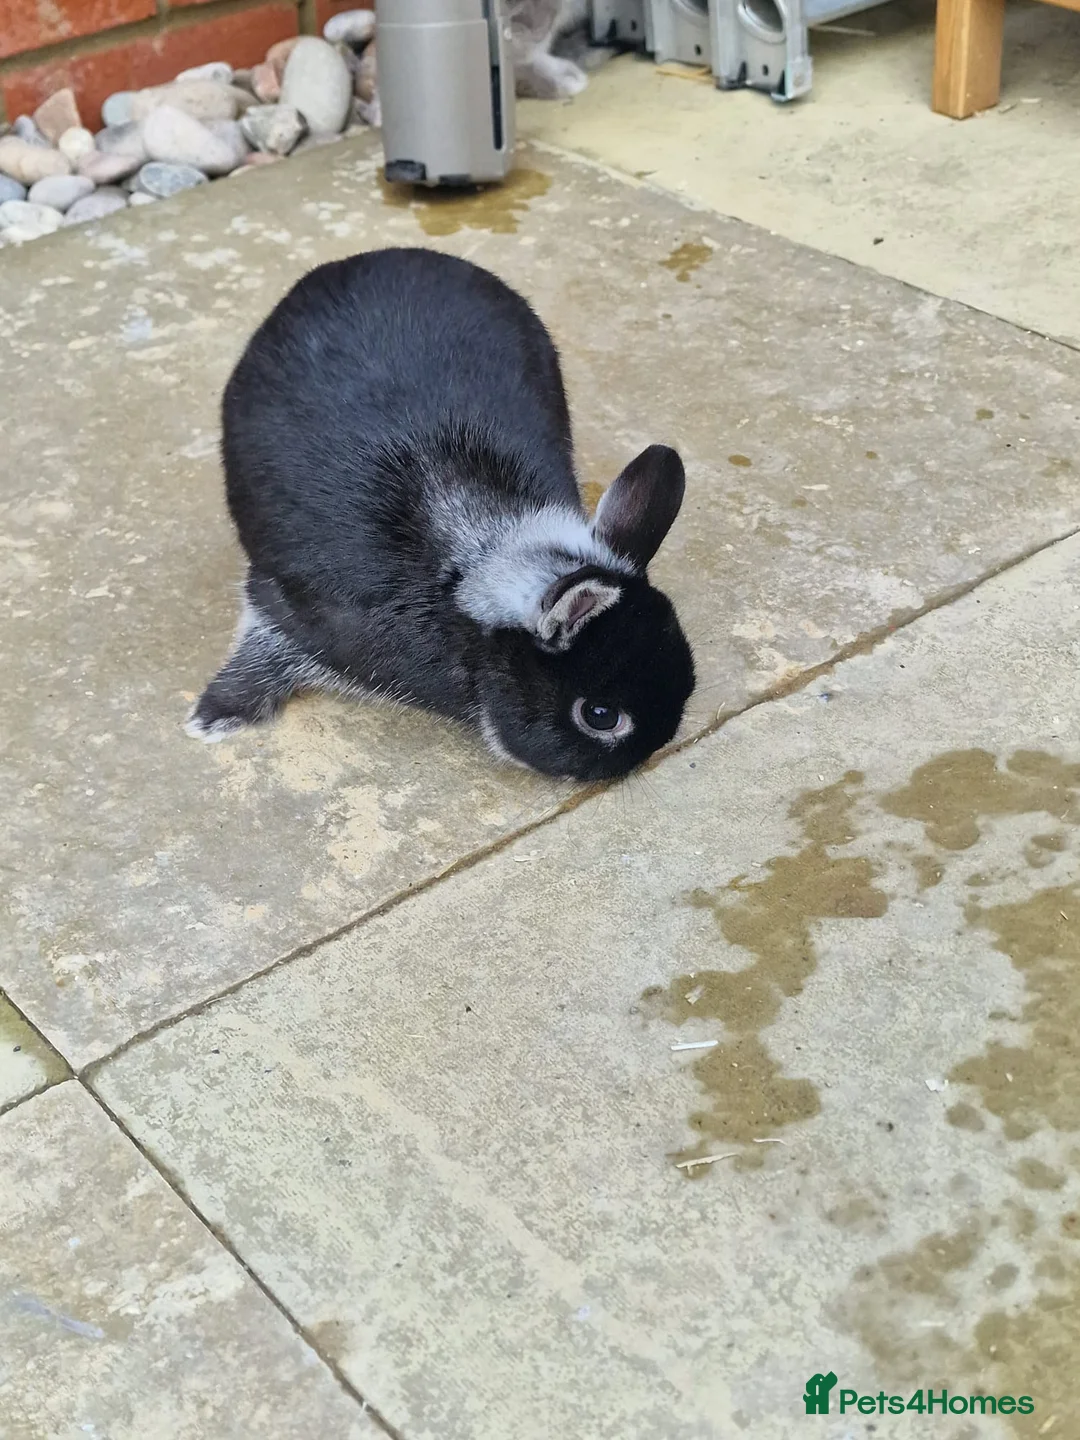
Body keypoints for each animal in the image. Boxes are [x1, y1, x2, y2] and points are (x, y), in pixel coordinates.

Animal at [187, 247, 695, 783]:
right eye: (600, 716)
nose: (650, 752)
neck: (475, 562)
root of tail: (376, 257)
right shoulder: (286, 604)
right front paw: (212, 716)